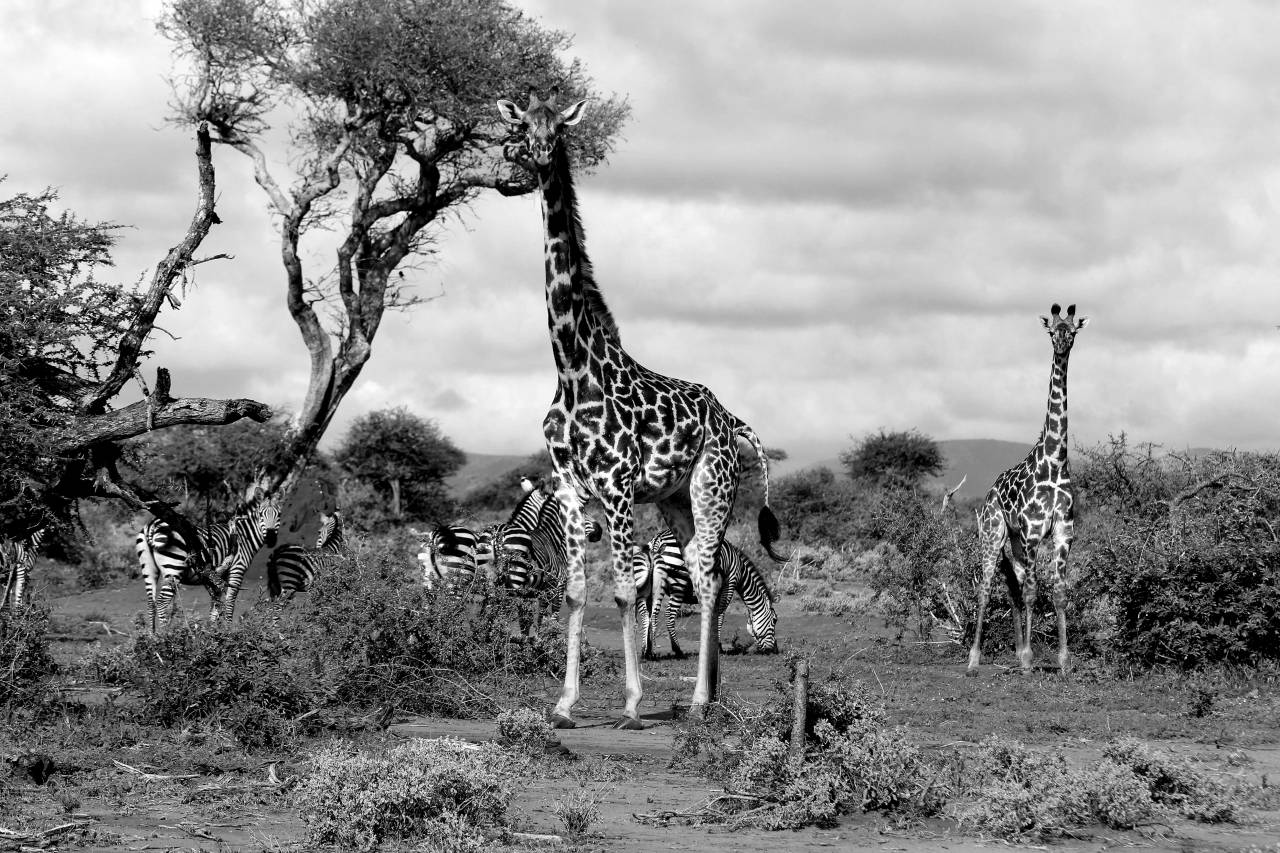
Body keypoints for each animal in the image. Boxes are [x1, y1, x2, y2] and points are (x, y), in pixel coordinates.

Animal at [497, 90, 785, 728]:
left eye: (557, 130)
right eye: (521, 128)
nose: (530, 158)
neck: (572, 369)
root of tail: (732, 420)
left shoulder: (619, 485)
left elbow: (627, 589)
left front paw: (631, 702)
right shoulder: (571, 487)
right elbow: (576, 591)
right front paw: (564, 704)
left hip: (711, 489)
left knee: (709, 579)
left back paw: (701, 700)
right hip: (676, 499)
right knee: (709, 574)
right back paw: (711, 694)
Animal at [968, 303, 1088, 677]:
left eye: (1072, 331)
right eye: (1052, 331)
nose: (1061, 346)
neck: (1055, 460)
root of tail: (990, 491)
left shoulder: (1063, 532)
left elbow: (1059, 591)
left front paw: (1063, 660)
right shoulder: (1034, 532)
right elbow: (1035, 592)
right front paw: (1030, 659)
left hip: (1017, 542)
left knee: (1014, 585)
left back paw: (1018, 651)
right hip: (993, 533)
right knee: (986, 586)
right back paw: (974, 659)